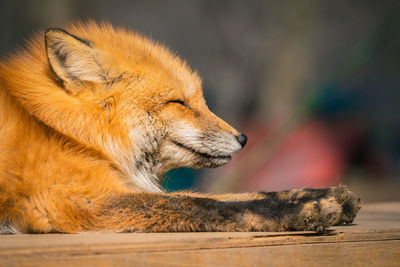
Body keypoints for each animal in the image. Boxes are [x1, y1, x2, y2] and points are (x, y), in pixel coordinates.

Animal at [0, 21, 360, 234]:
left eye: (200, 100)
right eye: (178, 103)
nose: (244, 138)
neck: (62, 130)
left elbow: (229, 195)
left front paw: (316, 195)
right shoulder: (71, 202)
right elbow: (204, 205)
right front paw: (306, 210)